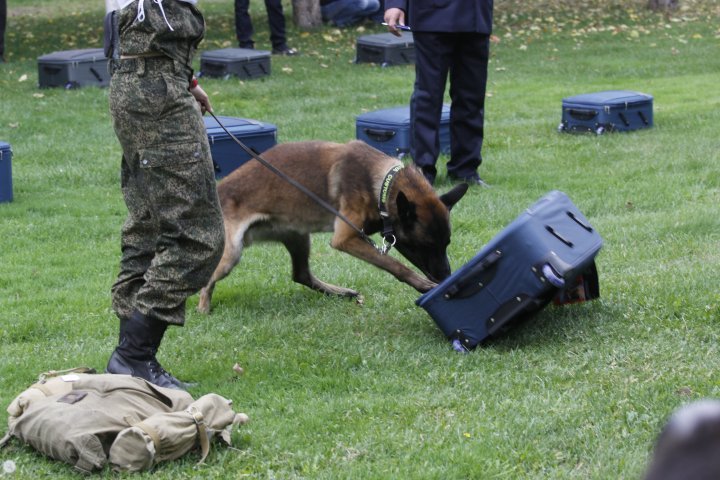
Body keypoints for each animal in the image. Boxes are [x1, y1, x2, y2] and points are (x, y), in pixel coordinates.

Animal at [197, 139, 466, 314]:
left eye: (446, 244)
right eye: (424, 246)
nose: (446, 276)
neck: (382, 185)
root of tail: (219, 192)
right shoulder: (346, 238)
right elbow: (395, 265)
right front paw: (421, 284)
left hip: (299, 237)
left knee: (301, 275)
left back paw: (340, 292)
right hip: (232, 253)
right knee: (206, 281)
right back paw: (202, 309)